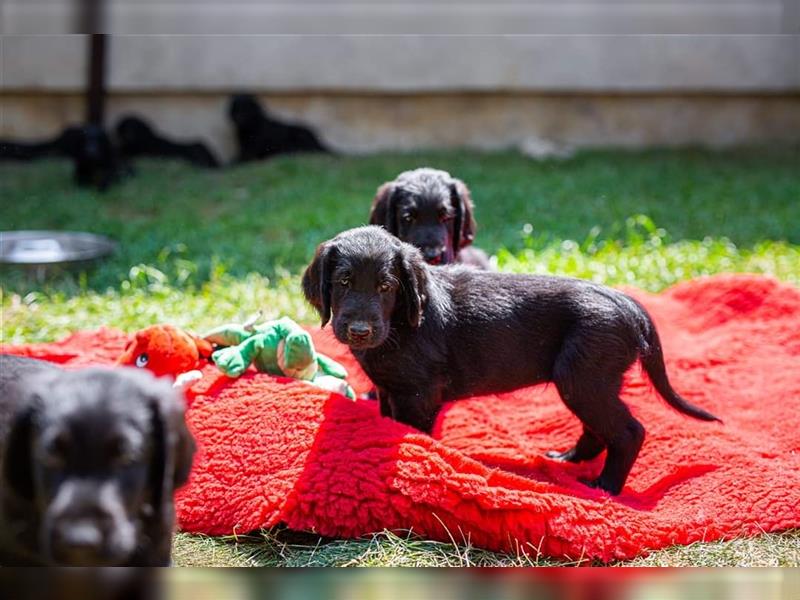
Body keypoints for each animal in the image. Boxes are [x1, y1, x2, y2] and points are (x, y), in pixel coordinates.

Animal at [304, 227, 720, 494]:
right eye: (343, 282)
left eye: (386, 287)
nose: (359, 331)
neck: (400, 325)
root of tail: (629, 303)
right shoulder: (391, 391)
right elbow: (387, 422)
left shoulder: (419, 395)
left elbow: (412, 434)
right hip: (590, 381)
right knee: (599, 429)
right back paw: (569, 459)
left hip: (584, 378)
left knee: (629, 431)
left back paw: (606, 487)